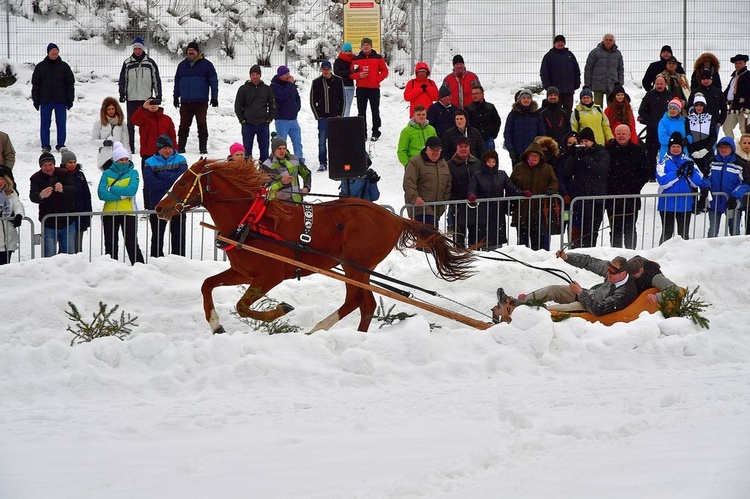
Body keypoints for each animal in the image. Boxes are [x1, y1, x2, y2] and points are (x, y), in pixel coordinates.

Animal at [156, 158, 476, 334]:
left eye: (183, 181)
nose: (160, 208)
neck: (252, 219)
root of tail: (393, 217)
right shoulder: (243, 273)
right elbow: (207, 285)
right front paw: (215, 324)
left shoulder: (269, 276)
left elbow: (242, 305)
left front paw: (280, 310)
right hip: (356, 269)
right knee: (362, 303)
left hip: (356, 267)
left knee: (361, 303)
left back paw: (324, 331)